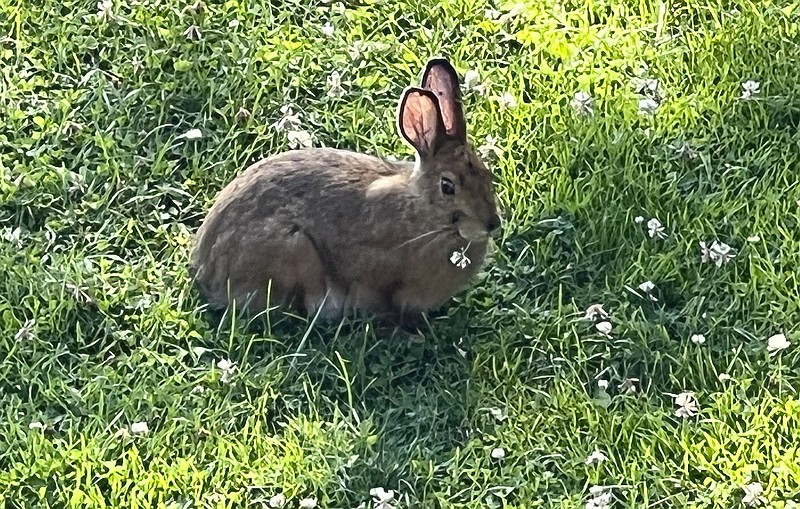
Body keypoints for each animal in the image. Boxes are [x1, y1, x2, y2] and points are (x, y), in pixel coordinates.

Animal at [190, 58, 500, 322]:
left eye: (487, 174)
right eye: (448, 186)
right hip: (295, 249)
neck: (424, 215)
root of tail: (207, 272)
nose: (492, 224)